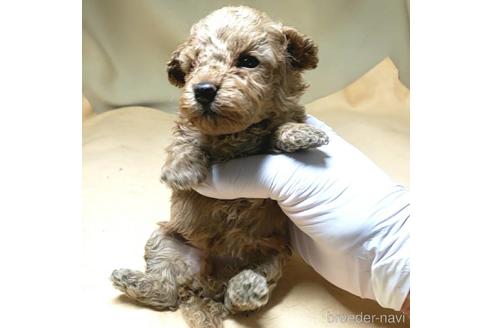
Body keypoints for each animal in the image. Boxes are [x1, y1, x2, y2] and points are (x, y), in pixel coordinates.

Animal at [111, 5, 326, 328]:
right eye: (191, 66)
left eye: (248, 61)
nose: (202, 90)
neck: (235, 136)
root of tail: (205, 286)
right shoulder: (188, 123)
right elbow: (186, 136)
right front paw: (181, 170)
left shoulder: (279, 118)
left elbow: (281, 125)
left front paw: (301, 134)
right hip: (165, 241)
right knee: (165, 292)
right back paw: (133, 280)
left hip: (272, 255)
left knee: (239, 297)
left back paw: (246, 287)